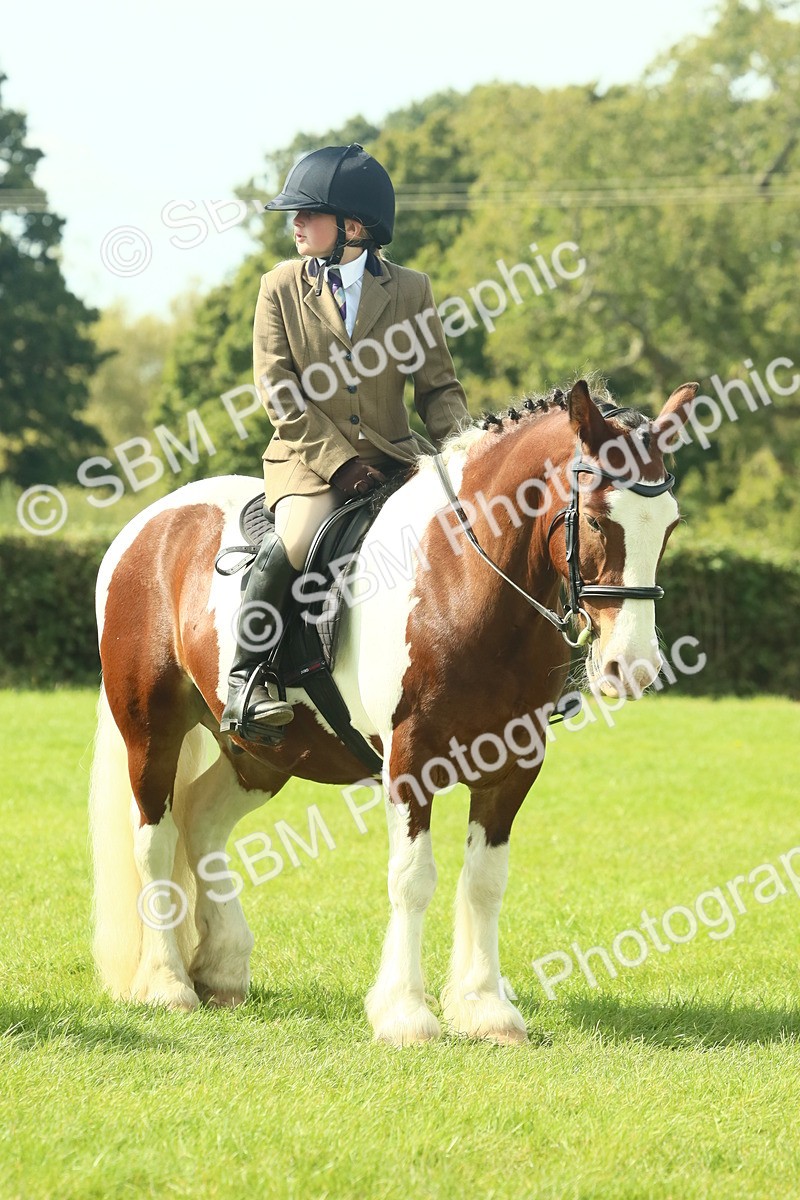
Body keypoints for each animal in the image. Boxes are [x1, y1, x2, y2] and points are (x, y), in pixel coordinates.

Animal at [89, 379, 698, 1045]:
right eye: (593, 519)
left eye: (669, 526)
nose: (631, 667)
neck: (462, 576)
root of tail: (149, 524)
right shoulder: (411, 759)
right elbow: (412, 878)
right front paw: (405, 1013)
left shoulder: (515, 766)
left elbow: (485, 881)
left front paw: (485, 1008)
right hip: (151, 731)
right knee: (155, 838)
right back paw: (167, 984)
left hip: (264, 753)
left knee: (201, 819)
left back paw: (220, 970)